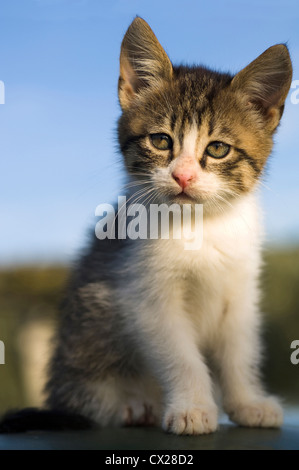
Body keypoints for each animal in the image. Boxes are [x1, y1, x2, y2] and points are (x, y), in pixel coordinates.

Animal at [5, 18, 294, 436]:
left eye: (218, 149)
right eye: (160, 140)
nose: (183, 176)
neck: (200, 227)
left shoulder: (240, 291)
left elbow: (238, 352)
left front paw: (247, 403)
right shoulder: (144, 296)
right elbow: (182, 357)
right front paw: (192, 408)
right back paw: (134, 405)